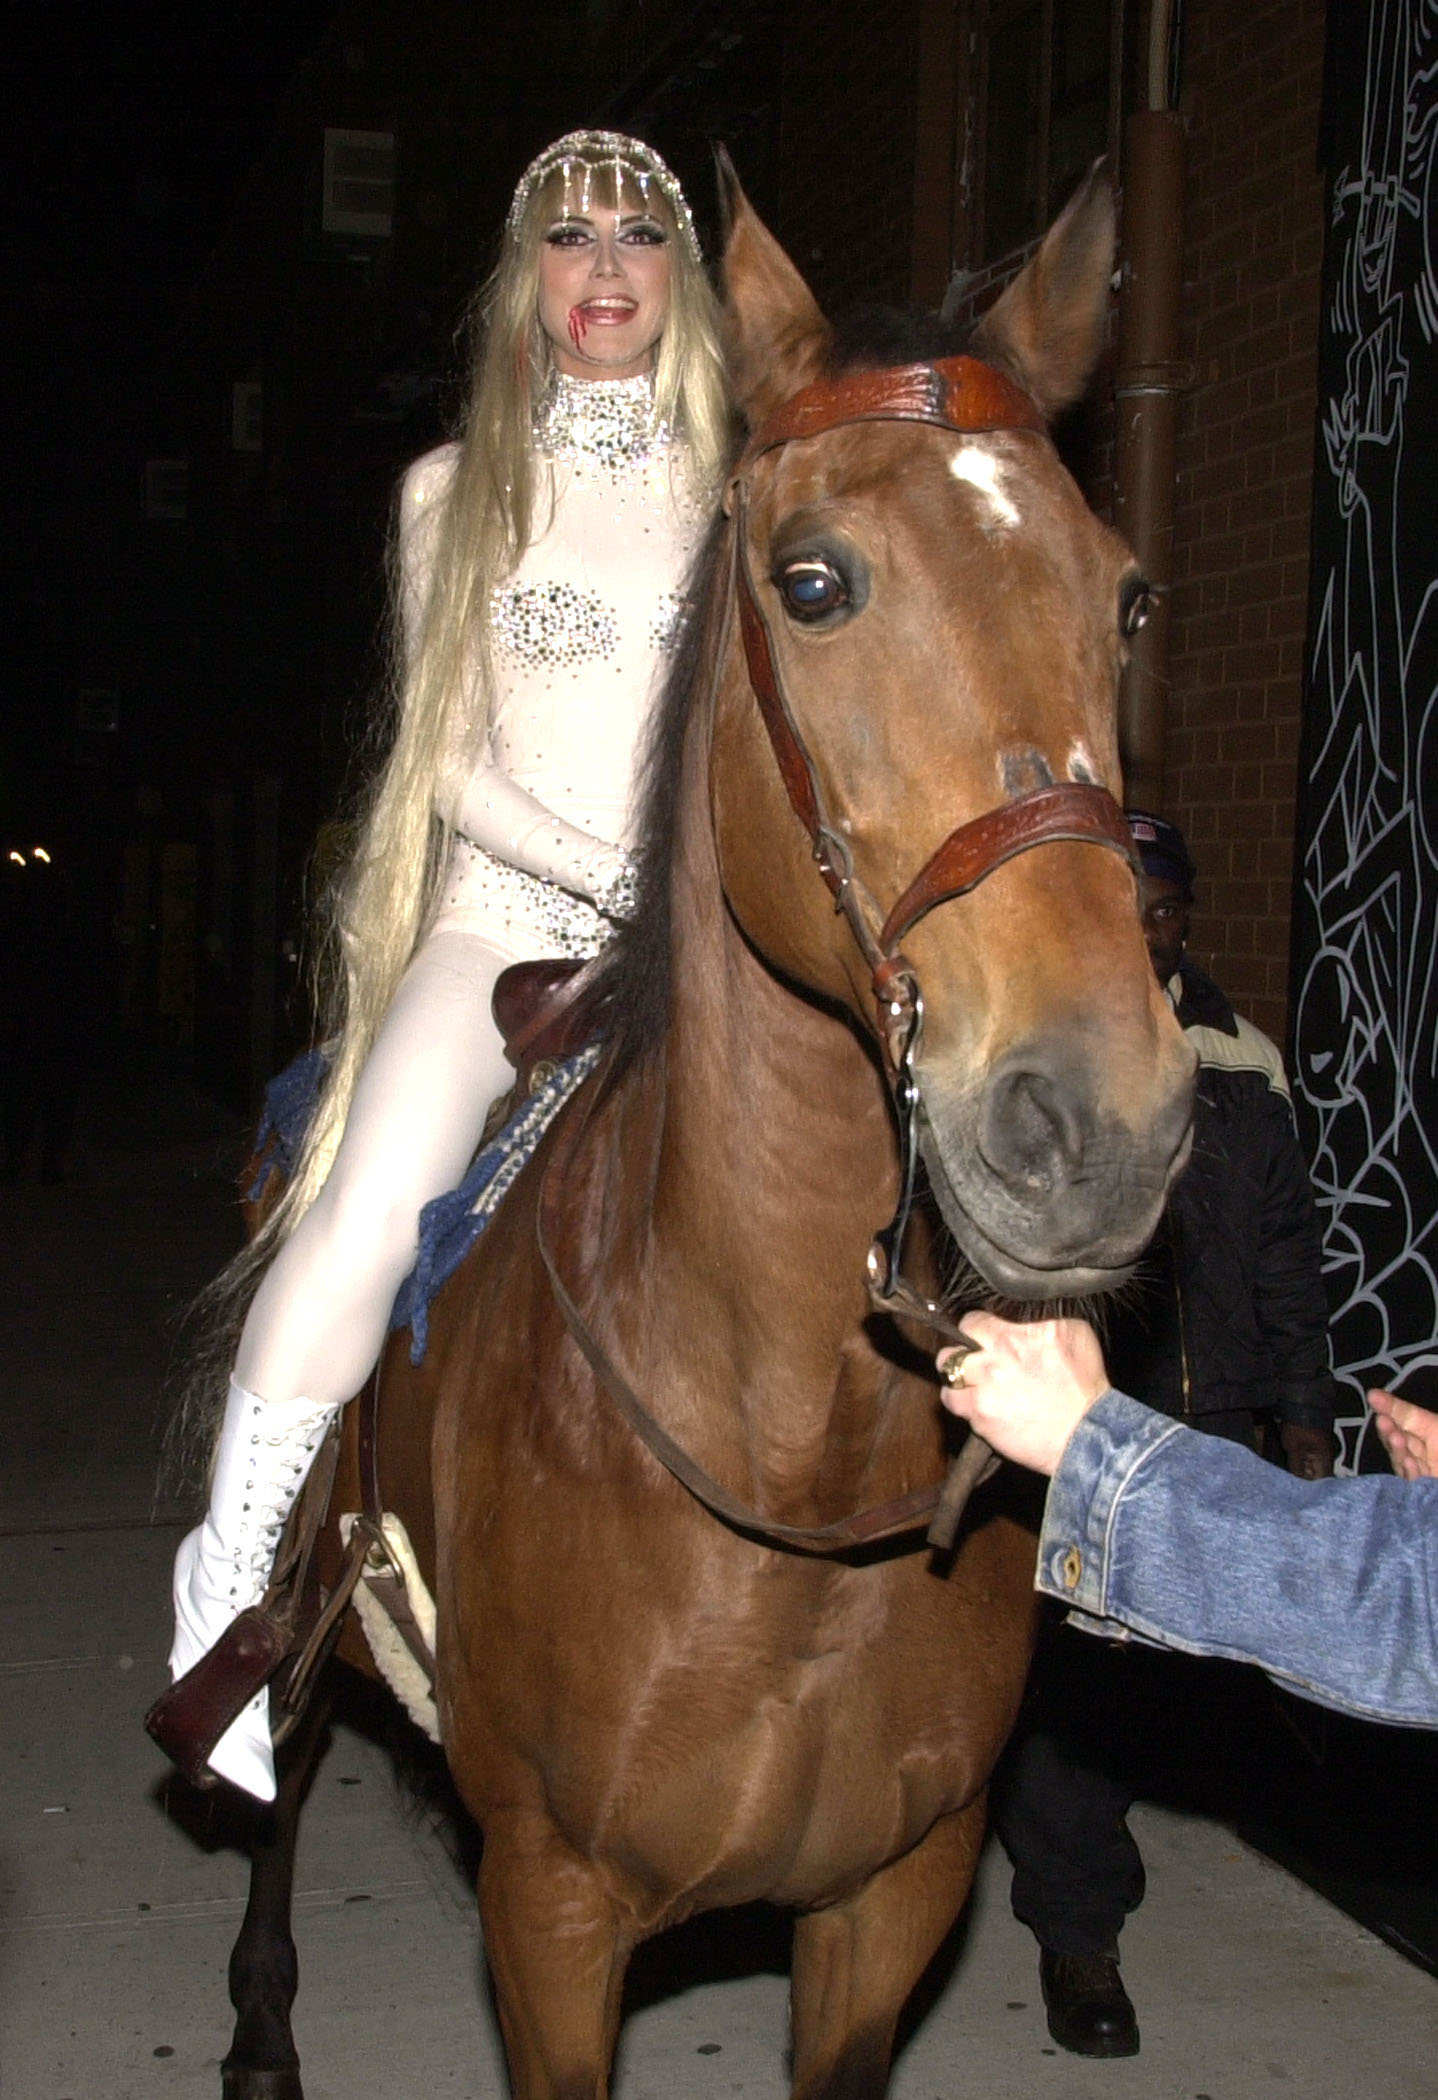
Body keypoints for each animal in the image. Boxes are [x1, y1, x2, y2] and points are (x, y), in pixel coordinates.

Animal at [217, 168, 1196, 2100]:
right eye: (809, 584)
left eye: (1123, 600)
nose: (1096, 1124)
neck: (796, 1452)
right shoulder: (552, 1913)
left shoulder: (890, 1901)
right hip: (300, 1612)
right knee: (276, 1764)